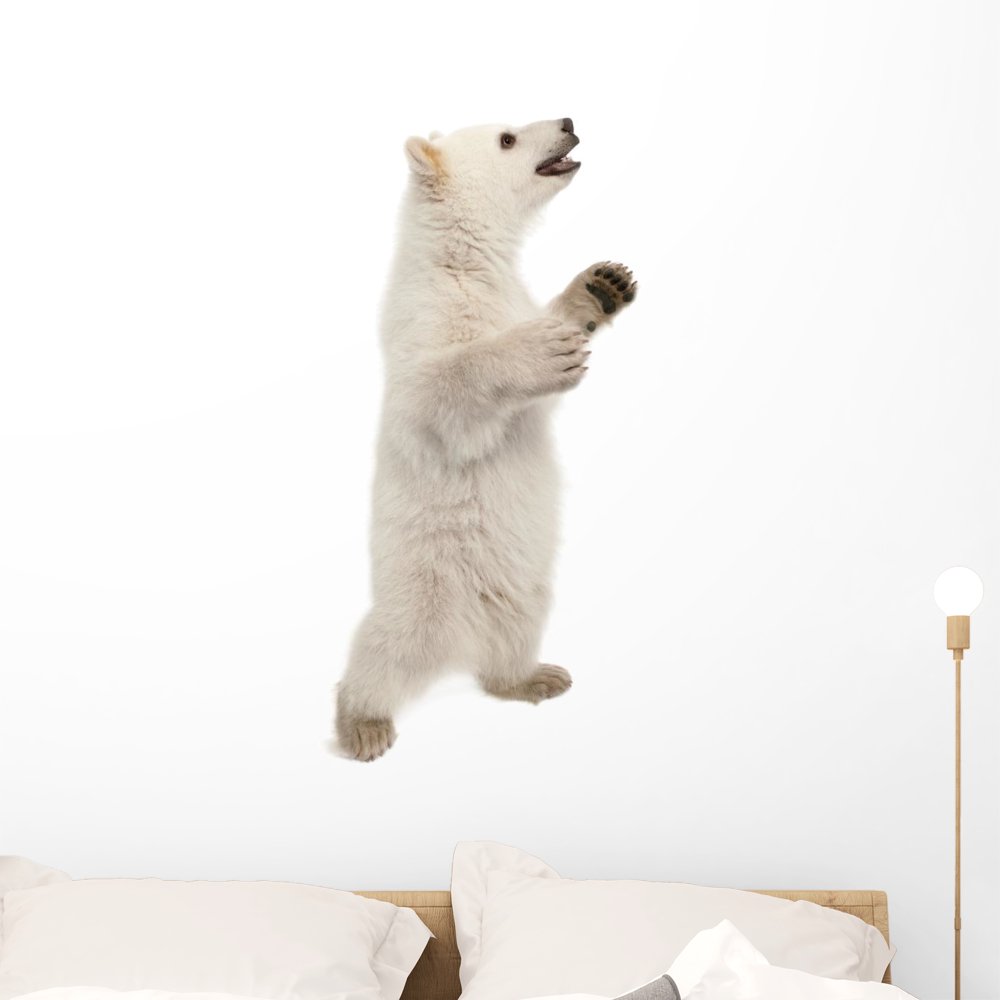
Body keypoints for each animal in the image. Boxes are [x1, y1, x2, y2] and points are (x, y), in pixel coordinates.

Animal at [334, 117, 637, 761]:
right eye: (508, 138)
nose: (569, 122)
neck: (462, 259)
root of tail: (456, 642)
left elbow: (542, 394)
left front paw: (602, 285)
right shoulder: (425, 316)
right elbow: (437, 391)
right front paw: (538, 351)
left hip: (521, 586)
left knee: (514, 633)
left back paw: (533, 677)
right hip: (415, 592)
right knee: (380, 652)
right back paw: (364, 724)